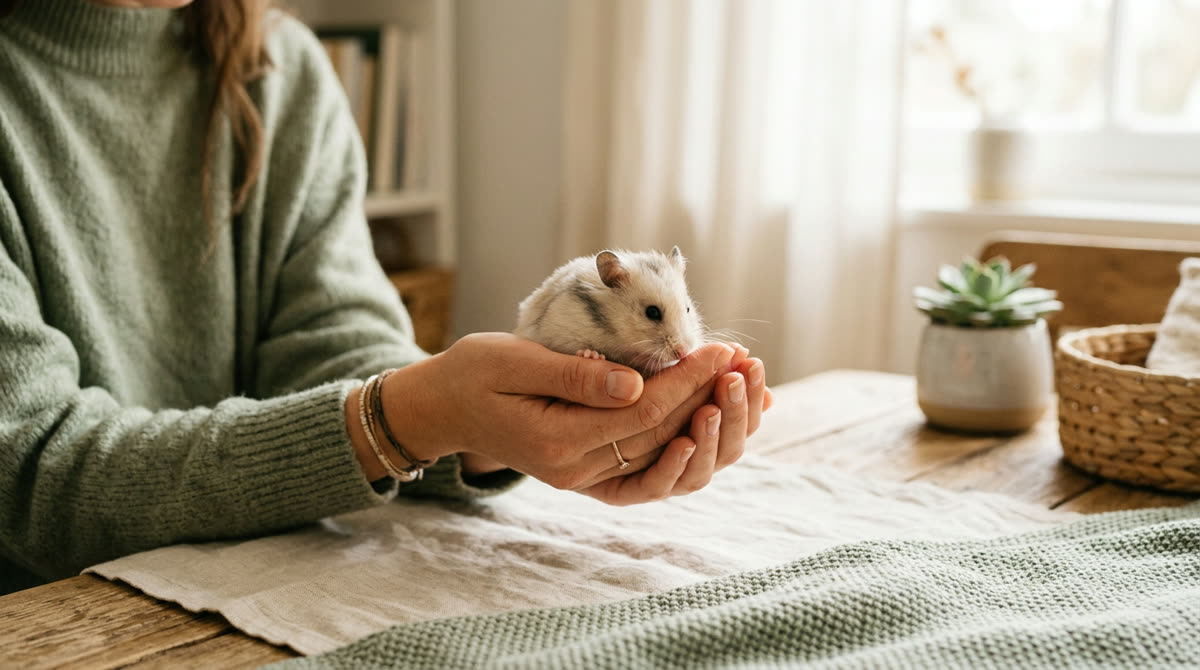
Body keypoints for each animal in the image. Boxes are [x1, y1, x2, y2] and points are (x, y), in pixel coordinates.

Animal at [515, 246, 705, 377]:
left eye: (688, 309)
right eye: (652, 312)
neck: (615, 334)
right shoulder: (558, 333)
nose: (684, 352)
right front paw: (591, 355)